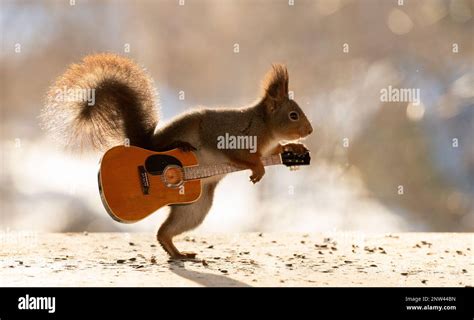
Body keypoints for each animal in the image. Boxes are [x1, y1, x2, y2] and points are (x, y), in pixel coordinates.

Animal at [41, 53, 314, 258]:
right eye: (293, 115)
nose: (310, 131)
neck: (265, 127)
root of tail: (145, 144)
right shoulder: (232, 138)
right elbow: (243, 157)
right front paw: (258, 169)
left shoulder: (268, 148)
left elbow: (277, 151)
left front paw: (295, 150)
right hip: (179, 144)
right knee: (164, 152)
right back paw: (179, 146)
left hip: (194, 208)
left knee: (165, 232)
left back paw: (177, 252)